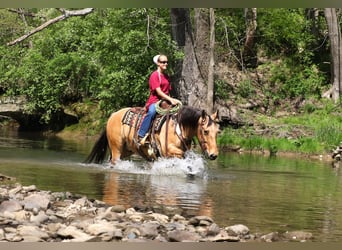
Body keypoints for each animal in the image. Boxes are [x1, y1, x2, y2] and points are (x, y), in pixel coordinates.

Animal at [84, 102, 220, 165]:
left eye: (217, 132)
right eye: (206, 131)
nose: (214, 155)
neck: (178, 128)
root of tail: (112, 116)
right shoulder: (168, 151)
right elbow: (181, 155)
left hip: (125, 150)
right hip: (116, 147)